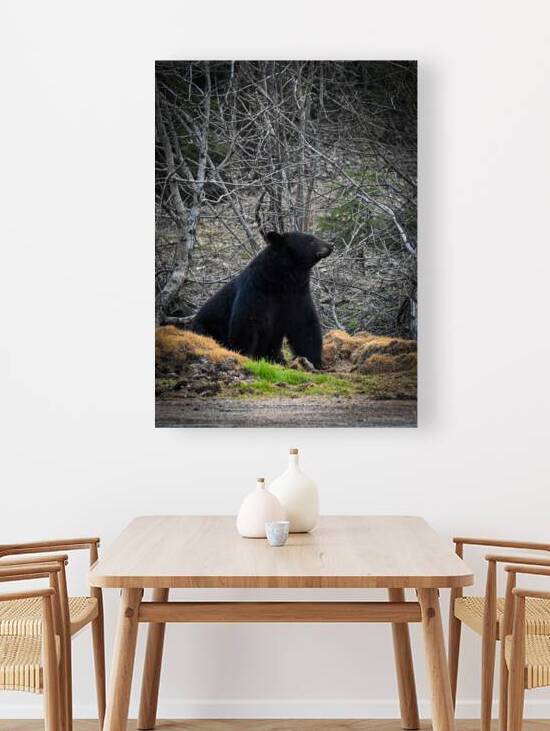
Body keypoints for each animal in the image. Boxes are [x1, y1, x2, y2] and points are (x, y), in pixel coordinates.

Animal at [190, 231, 333, 368]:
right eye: (311, 239)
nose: (330, 245)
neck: (282, 282)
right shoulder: (256, 290)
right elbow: (246, 321)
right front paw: (245, 354)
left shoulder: (298, 295)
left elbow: (305, 325)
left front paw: (313, 361)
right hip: (205, 327)